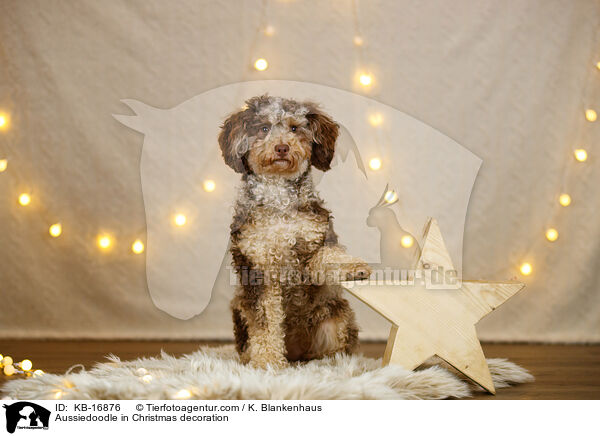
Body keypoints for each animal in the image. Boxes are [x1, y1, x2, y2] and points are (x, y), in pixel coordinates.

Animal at [220, 94, 370, 368]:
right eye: (264, 128)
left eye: (293, 128)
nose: (282, 148)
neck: (279, 202)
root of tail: (296, 353)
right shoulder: (257, 268)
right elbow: (265, 322)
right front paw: (267, 362)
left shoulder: (315, 239)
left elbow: (330, 255)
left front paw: (353, 266)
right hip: (239, 309)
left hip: (336, 316)